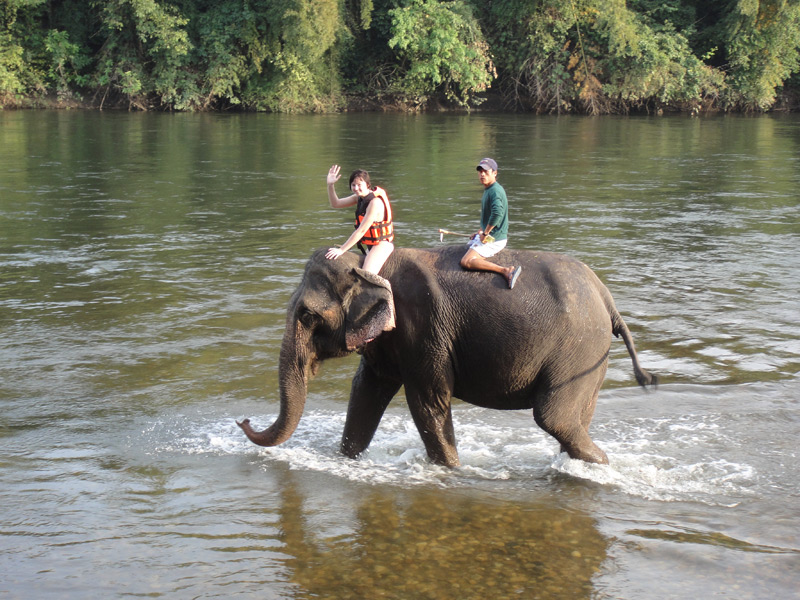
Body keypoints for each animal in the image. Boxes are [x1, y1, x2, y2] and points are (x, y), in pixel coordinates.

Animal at [236, 246, 656, 466]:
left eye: (308, 316)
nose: (243, 420)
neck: (371, 266)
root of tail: (607, 298)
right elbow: (365, 393)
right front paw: (345, 460)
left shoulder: (423, 330)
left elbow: (428, 404)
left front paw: (451, 471)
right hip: (590, 355)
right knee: (575, 418)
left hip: (578, 347)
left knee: (553, 417)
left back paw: (600, 467)